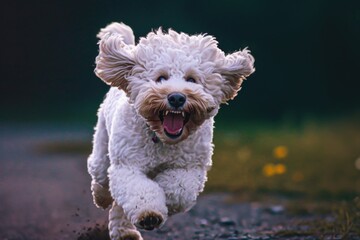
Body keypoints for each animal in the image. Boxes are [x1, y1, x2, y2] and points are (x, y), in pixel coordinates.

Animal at [87, 22, 255, 240]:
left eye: (192, 79)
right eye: (161, 78)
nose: (176, 97)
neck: (162, 138)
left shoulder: (190, 167)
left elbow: (178, 189)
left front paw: (164, 192)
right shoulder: (128, 166)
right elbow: (139, 191)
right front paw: (149, 215)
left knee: (119, 204)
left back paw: (125, 232)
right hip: (102, 147)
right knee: (100, 175)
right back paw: (102, 198)